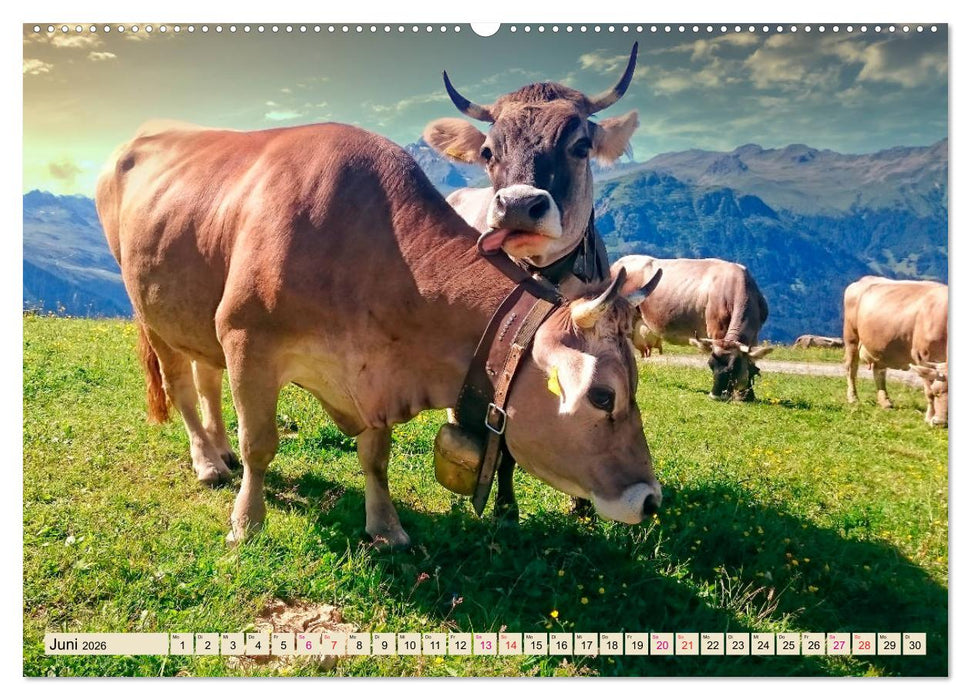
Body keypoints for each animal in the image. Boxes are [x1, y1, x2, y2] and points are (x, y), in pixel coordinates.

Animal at [95, 121, 663, 548]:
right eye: (602, 396)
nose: (652, 499)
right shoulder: (245, 338)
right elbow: (259, 444)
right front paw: (246, 523)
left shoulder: (376, 375)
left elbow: (376, 456)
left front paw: (387, 528)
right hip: (150, 310)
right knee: (182, 387)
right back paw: (208, 462)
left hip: (193, 311)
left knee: (207, 380)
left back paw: (218, 451)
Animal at [613, 255, 773, 402]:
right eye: (710, 365)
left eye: (732, 368)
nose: (714, 396)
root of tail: (619, 263)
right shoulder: (716, 330)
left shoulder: (754, 335)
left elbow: (751, 362)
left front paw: (747, 395)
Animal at [842, 276, 948, 426]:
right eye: (937, 392)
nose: (940, 422)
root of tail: (865, 279)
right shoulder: (922, 357)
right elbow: (928, 390)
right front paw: (929, 417)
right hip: (851, 337)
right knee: (851, 368)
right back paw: (853, 398)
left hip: (880, 345)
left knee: (879, 371)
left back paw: (885, 402)